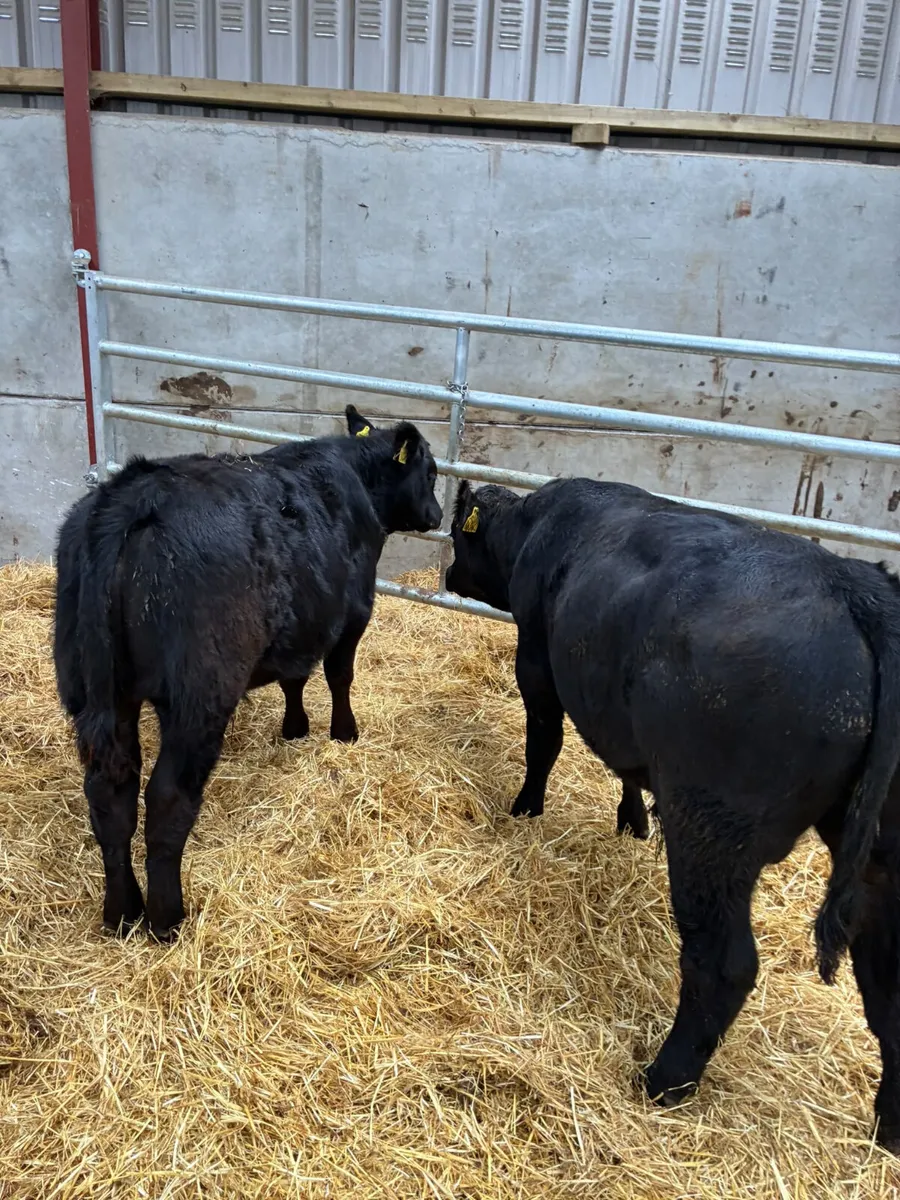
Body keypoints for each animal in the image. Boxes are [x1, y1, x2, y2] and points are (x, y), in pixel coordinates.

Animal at [54, 406, 442, 943]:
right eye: (432, 473)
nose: (439, 516)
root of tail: (132, 498)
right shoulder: (353, 610)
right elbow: (338, 675)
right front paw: (343, 733)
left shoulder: (302, 620)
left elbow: (294, 677)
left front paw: (295, 729)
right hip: (198, 696)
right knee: (167, 798)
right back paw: (167, 918)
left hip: (94, 689)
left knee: (110, 797)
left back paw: (122, 912)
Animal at [446, 476, 900, 1151]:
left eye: (457, 535)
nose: (447, 572)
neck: (536, 525)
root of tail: (858, 589)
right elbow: (624, 768)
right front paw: (631, 820)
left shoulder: (537, 658)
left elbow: (544, 741)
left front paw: (525, 808)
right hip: (882, 862)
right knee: (891, 988)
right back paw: (889, 1129)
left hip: (714, 833)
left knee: (725, 965)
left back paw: (664, 1080)